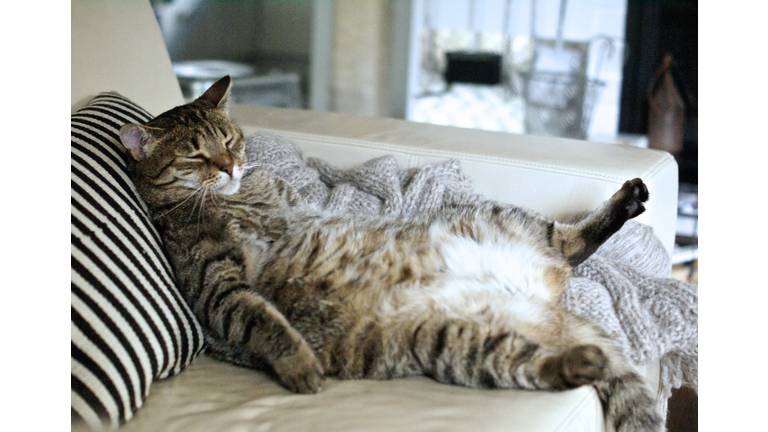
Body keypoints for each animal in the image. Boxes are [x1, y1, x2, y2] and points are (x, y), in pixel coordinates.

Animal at [118, 76, 660, 430]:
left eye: (230, 140)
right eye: (195, 154)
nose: (230, 166)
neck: (234, 199)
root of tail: (548, 306)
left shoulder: (295, 208)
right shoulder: (217, 287)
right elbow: (263, 319)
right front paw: (300, 366)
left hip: (503, 223)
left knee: (569, 245)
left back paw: (626, 201)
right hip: (454, 345)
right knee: (545, 353)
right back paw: (583, 361)